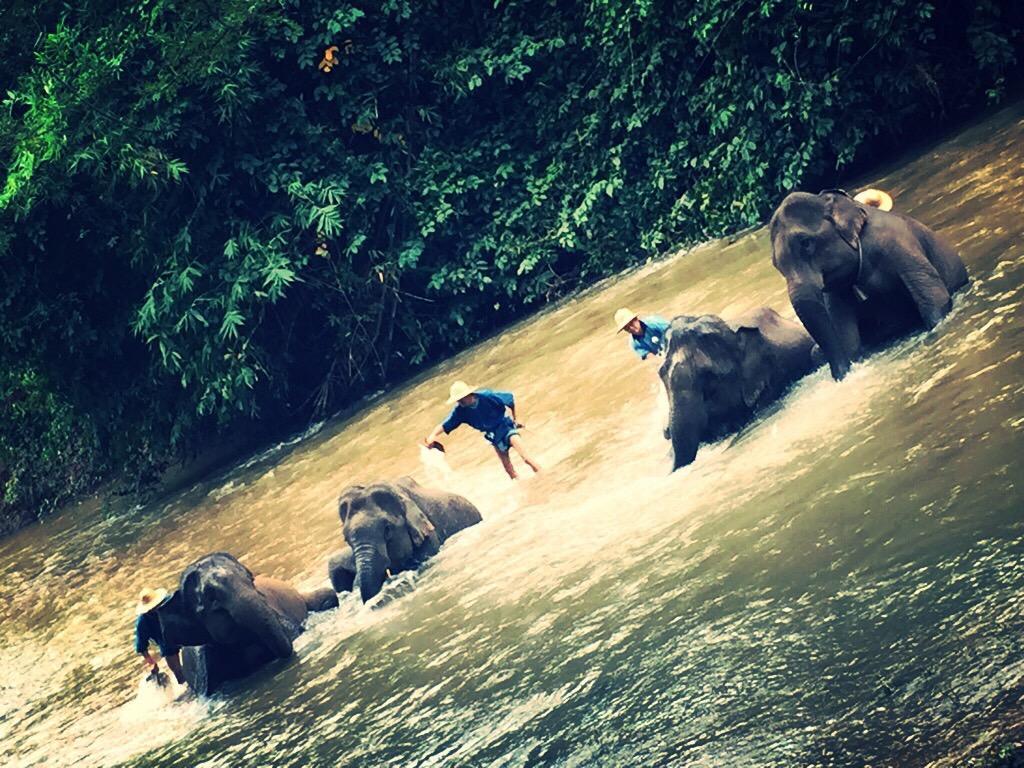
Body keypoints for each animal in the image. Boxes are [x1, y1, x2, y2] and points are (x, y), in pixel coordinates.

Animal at [770, 188, 966, 380]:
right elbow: (844, 330)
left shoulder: (899, 245)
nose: (841, 377)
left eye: (806, 243)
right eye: (775, 264)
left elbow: (934, 300)